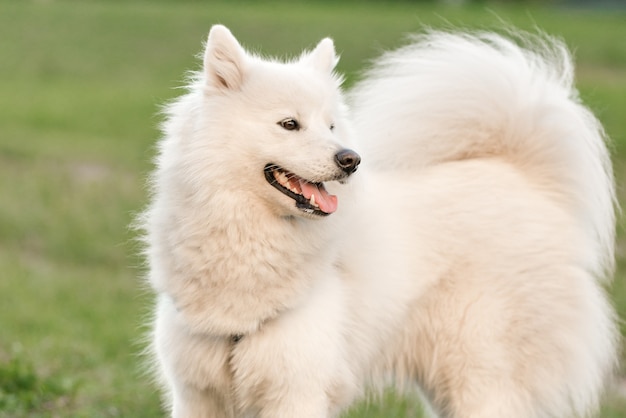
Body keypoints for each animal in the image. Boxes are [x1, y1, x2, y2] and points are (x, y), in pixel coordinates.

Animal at [140, 24, 616, 416]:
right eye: (289, 124)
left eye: (332, 126)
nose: (350, 159)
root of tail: (518, 173)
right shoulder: (197, 394)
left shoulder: (296, 390)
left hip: (479, 374)